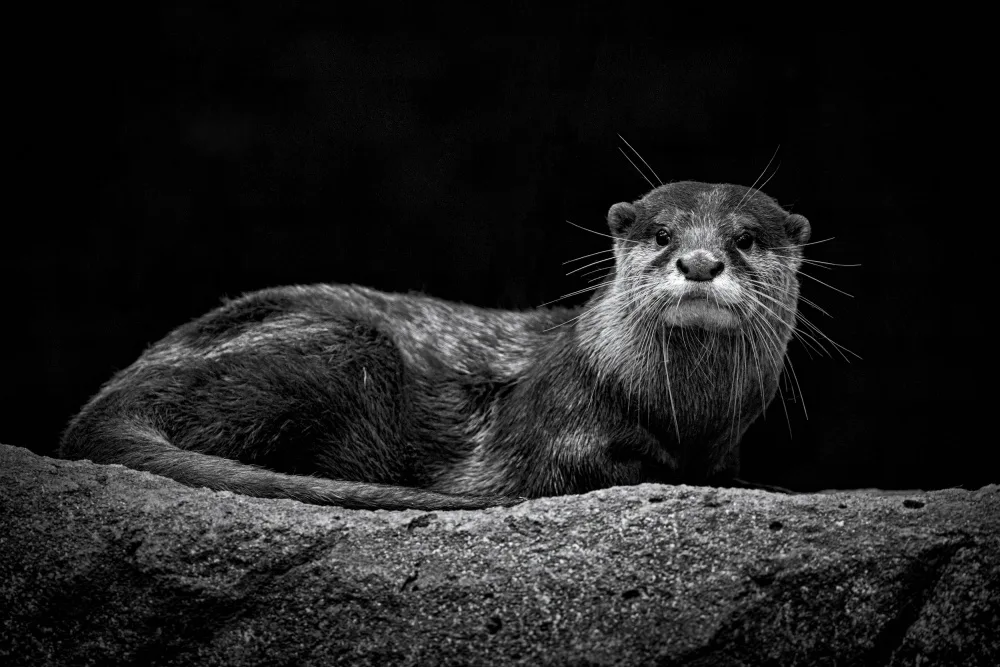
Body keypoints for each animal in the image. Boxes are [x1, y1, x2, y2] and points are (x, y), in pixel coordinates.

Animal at [60, 181, 811, 510]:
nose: (700, 261)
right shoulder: (554, 417)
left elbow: (719, 470)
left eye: (746, 238)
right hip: (338, 349)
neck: (685, 413)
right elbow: (586, 467)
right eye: (661, 233)